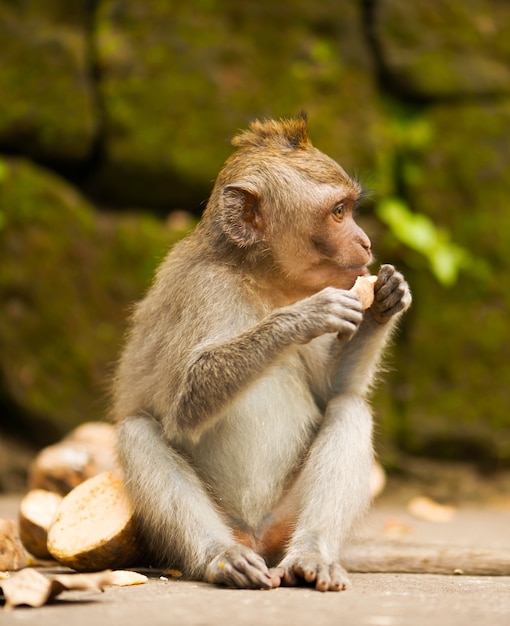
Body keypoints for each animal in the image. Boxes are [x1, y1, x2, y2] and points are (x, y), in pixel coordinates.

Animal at [110, 113, 410, 588]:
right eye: (338, 212)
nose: (365, 243)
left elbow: (331, 390)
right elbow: (183, 409)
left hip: (285, 517)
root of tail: (256, 536)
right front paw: (304, 316)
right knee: (138, 432)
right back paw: (222, 556)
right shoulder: (203, 290)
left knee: (348, 408)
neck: (256, 277)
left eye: (350, 209)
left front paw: (385, 301)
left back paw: (312, 555)